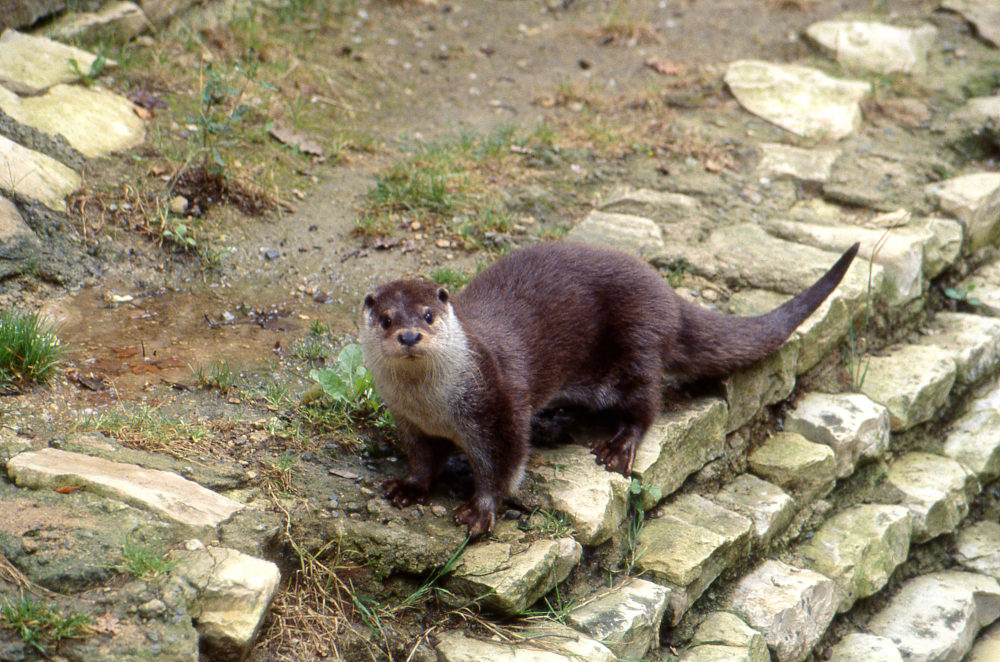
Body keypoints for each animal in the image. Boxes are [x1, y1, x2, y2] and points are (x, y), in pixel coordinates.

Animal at [360, 241, 860, 536]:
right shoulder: (409, 422)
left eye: (428, 315)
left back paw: (618, 446)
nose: (409, 335)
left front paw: (480, 511)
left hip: (635, 347)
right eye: (386, 318)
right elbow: (423, 460)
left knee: (646, 405)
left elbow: (501, 467)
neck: (435, 405)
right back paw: (555, 420)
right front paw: (409, 488)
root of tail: (666, 294)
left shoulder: (496, 409)